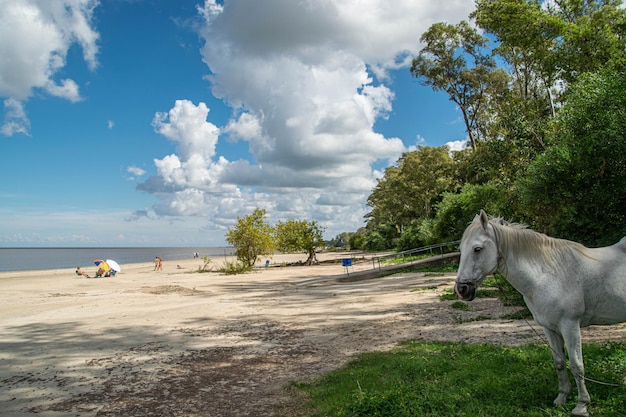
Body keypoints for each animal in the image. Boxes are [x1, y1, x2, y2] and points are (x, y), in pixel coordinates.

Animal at [454, 211, 624, 416]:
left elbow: (577, 365)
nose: (462, 289)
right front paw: (561, 398)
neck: (547, 276)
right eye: (461, 249)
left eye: (477, 249)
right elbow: (559, 362)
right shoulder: (549, 328)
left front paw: (581, 405)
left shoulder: (570, 325)